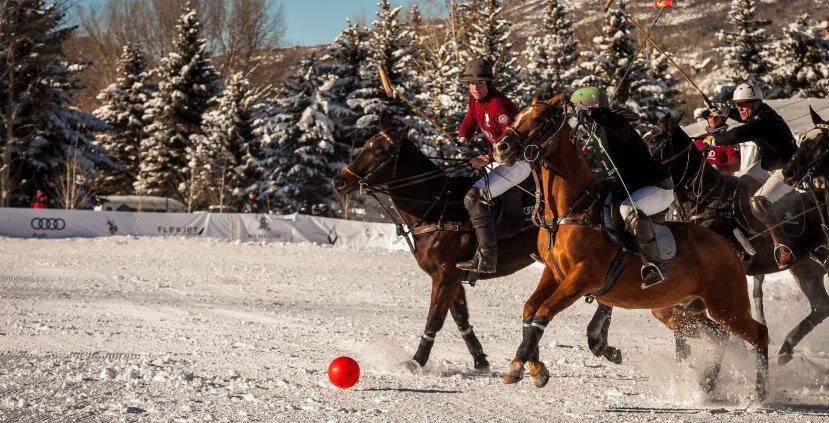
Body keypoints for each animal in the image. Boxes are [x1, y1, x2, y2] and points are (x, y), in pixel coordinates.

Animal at [334, 115, 540, 374]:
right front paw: (480, 361)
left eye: (380, 151)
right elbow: (460, 317)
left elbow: (434, 319)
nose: (339, 182)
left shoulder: (445, 275)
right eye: (365, 145)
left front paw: (415, 362)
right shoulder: (452, 276)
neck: (435, 205)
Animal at [492, 94, 768, 402]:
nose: (500, 147)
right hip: (678, 310)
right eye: (518, 116)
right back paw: (707, 386)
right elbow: (530, 308)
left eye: (539, 120)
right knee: (720, 336)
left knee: (758, 334)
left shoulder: (582, 277)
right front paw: (534, 368)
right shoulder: (554, 272)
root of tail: (726, 244)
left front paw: (518, 367)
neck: (569, 209)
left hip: (726, 304)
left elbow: (544, 311)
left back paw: (760, 393)